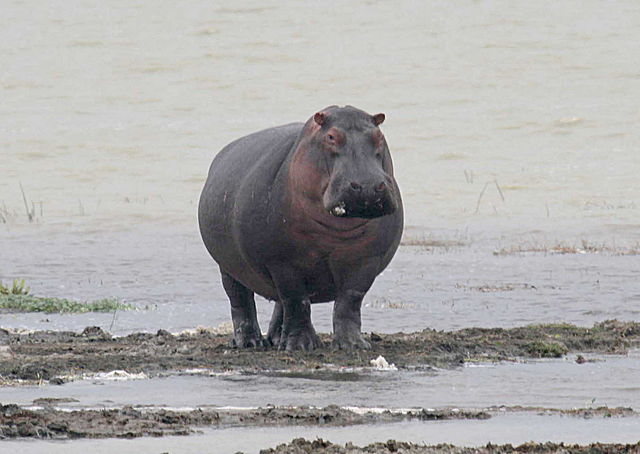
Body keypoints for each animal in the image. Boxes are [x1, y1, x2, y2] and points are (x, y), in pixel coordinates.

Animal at [198, 105, 403, 351]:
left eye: (379, 136)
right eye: (331, 137)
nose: (368, 186)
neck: (337, 231)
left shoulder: (366, 260)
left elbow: (349, 301)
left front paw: (353, 345)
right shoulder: (282, 262)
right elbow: (297, 301)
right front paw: (300, 346)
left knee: (279, 304)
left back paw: (278, 339)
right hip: (228, 267)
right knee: (241, 300)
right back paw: (250, 342)